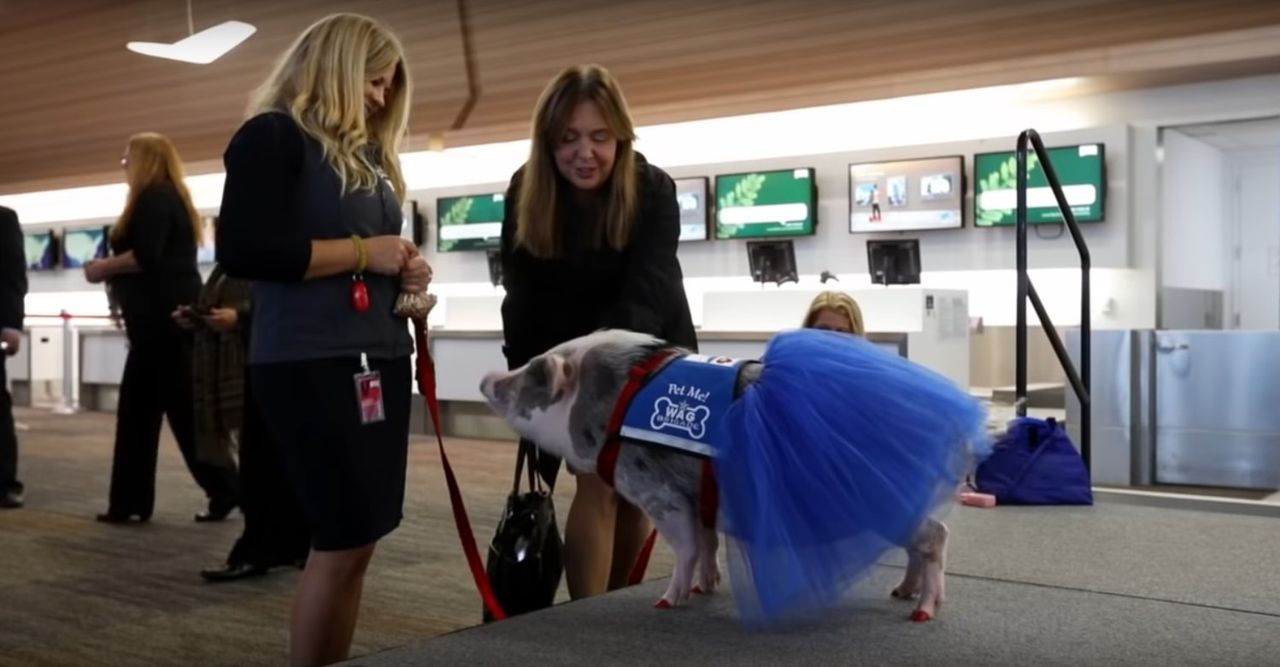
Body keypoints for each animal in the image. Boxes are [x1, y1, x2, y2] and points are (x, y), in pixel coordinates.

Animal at [481, 327, 988, 624]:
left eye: (533, 373)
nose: (487, 378)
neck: (616, 402)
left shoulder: (655, 490)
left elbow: (685, 547)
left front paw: (666, 602)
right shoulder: (697, 497)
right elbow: (706, 543)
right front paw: (705, 588)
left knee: (936, 537)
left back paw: (923, 611)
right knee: (921, 546)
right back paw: (901, 592)